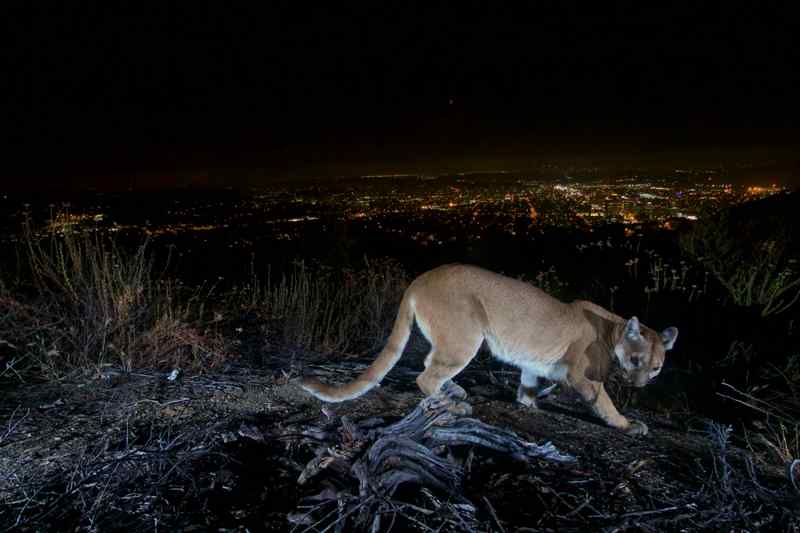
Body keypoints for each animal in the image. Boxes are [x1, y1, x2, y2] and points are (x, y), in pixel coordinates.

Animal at [304, 264, 680, 434]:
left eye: (656, 367)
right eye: (636, 360)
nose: (640, 384)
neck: (613, 329)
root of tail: (420, 278)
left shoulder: (535, 364)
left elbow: (530, 384)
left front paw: (529, 403)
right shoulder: (582, 375)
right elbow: (602, 401)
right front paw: (626, 424)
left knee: (429, 363)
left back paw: (454, 391)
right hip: (466, 337)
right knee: (426, 376)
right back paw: (453, 405)